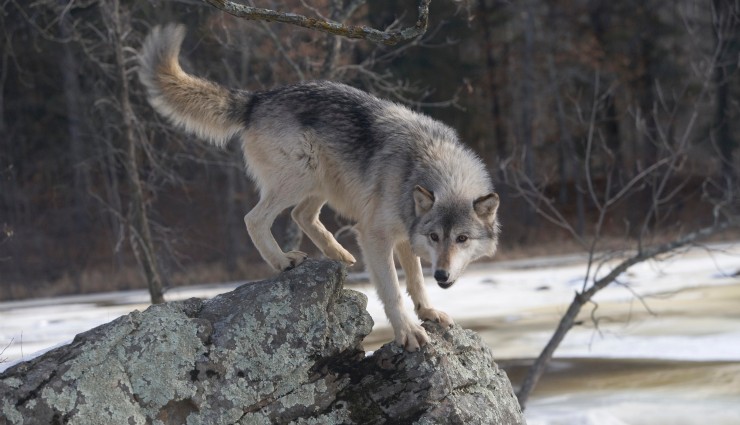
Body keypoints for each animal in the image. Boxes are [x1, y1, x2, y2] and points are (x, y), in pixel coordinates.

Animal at [137, 24, 502, 352]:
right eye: (436, 237)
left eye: (462, 239)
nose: (442, 274)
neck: (426, 164)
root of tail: (258, 98)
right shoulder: (375, 235)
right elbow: (394, 290)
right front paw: (408, 332)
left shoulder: (403, 236)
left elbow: (415, 282)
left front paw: (428, 312)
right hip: (302, 176)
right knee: (255, 219)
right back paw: (283, 261)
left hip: (320, 184)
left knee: (301, 216)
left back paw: (338, 254)